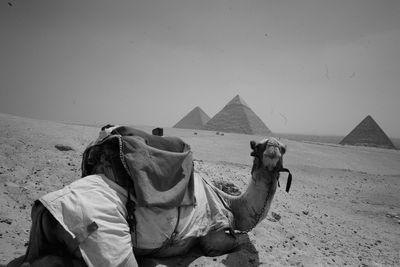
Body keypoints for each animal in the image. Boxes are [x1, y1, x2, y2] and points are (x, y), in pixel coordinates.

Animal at [7, 126, 290, 266]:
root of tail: (42, 209)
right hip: (106, 239)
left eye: (284, 148)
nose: (273, 148)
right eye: (256, 147)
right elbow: (235, 242)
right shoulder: (212, 236)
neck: (229, 204)